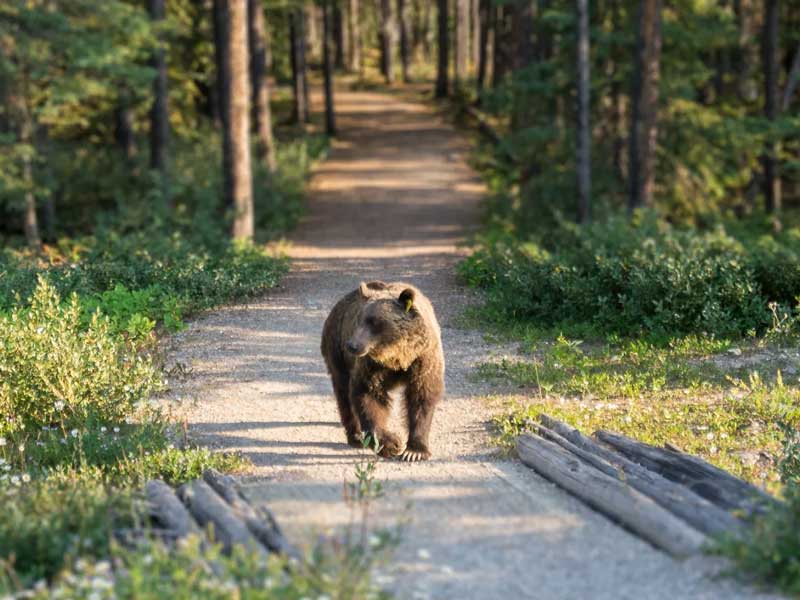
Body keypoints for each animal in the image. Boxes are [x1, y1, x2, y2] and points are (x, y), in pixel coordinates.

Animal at [318, 278, 444, 462]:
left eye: (374, 321)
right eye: (359, 319)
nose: (352, 345)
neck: (397, 357)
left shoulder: (423, 359)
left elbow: (422, 396)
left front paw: (414, 451)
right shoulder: (371, 365)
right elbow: (368, 395)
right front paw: (391, 444)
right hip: (337, 350)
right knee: (343, 393)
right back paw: (356, 436)